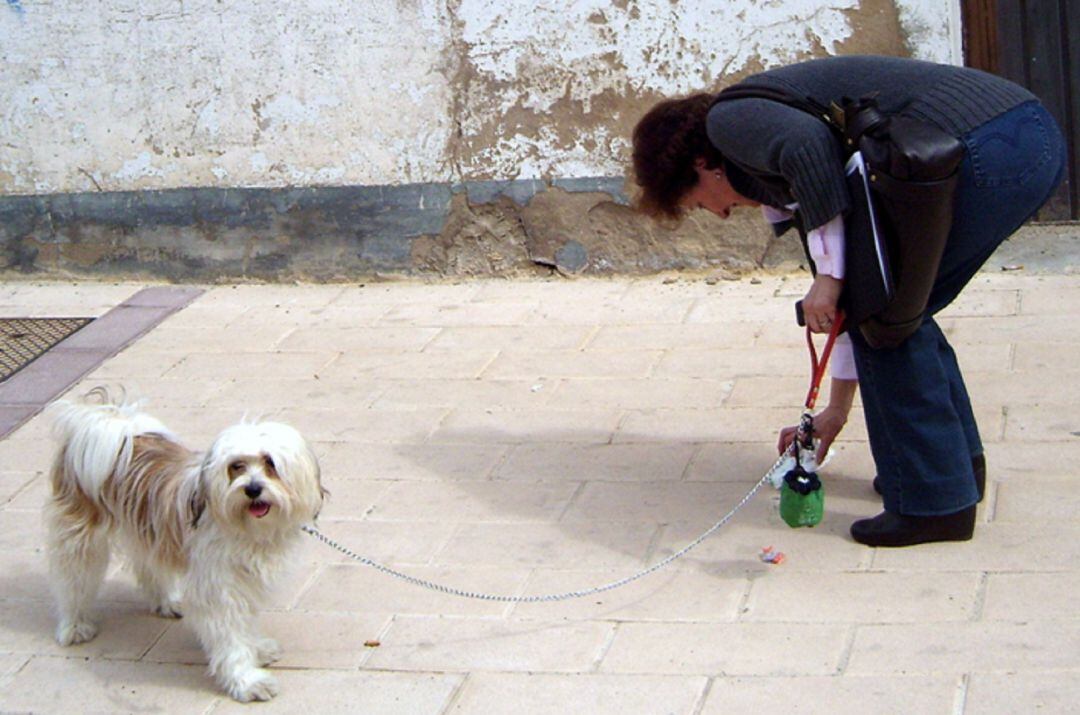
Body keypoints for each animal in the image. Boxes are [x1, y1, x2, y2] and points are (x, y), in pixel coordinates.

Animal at [45, 388, 324, 704]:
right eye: (236, 466)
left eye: (270, 463)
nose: (252, 489)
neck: (240, 526)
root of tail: (109, 425)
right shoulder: (219, 589)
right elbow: (231, 637)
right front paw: (246, 680)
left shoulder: (244, 581)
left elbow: (245, 624)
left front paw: (255, 648)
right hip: (80, 539)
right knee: (73, 581)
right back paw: (74, 625)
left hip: (146, 530)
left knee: (148, 567)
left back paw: (166, 601)